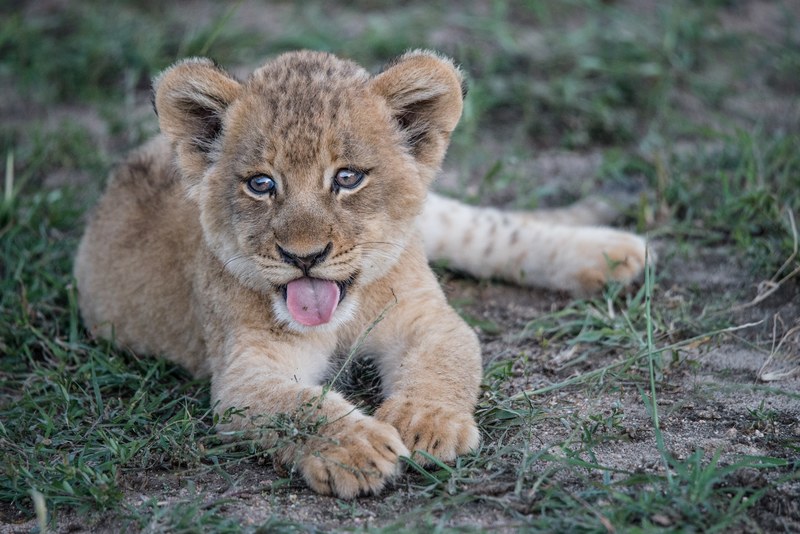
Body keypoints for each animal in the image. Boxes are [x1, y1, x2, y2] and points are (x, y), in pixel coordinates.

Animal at [74, 50, 646, 498]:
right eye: (261, 184)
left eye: (347, 178)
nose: (304, 255)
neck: (345, 317)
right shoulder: (243, 372)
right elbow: (296, 406)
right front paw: (356, 447)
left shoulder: (427, 316)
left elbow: (446, 360)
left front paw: (425, 423)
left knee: (485, 228)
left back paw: (614, 253)